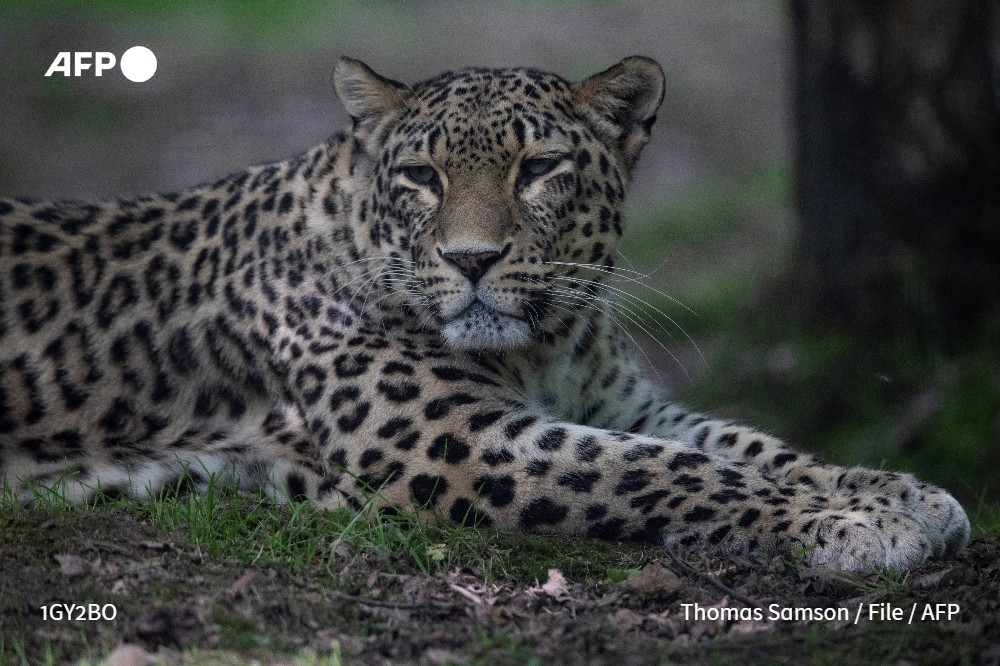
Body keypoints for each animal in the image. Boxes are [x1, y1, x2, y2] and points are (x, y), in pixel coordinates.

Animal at [0, 54, 968, 568]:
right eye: (421, 177)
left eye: (537, 169)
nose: (471, 259)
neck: (544, 350)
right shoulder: (450, 436)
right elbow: (668, 471)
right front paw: (859, 525)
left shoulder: (623, 405)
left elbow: (750, 447)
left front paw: (901, 492)